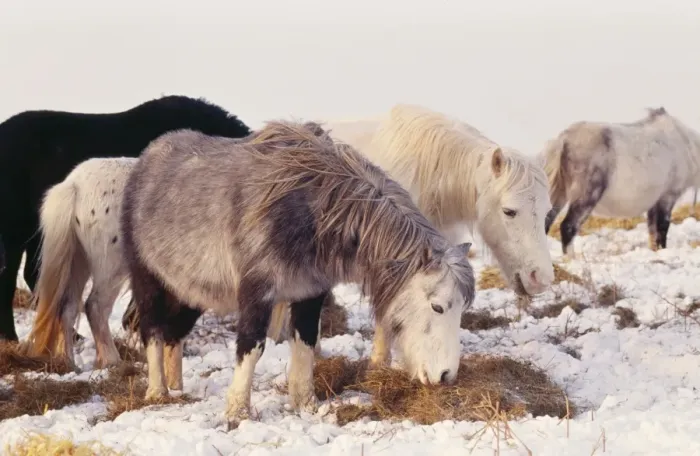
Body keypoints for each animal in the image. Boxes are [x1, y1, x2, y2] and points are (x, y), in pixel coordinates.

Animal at [120, 120, 475, 428]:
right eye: (437, 306)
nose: (447, 376)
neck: (315, 209)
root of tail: (147, 159)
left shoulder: (309, 293)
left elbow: (305, 344)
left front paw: (306, 404)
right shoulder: (257, 293)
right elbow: (252, 347)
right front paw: (237, 412)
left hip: (188, 290)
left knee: (174, 335)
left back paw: (177, 386)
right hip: (149, 281)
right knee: (153, 331)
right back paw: (158, 391)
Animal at [542, 107, 700, 255]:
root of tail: (565, 139)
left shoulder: (654, 202)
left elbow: (652, 230)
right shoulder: (667, 196)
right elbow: (662, 227)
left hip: (559, 194)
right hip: (585, 196)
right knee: (568, 226)